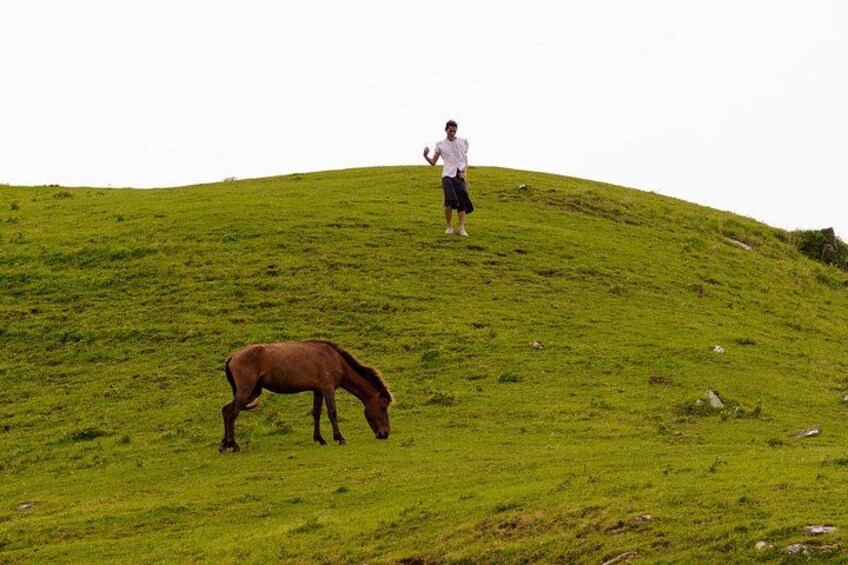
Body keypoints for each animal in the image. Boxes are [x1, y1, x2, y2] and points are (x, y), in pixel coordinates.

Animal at [220, 340, 393, 452]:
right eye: (383, 408)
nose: (385, 433)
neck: (335, 359)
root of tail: (233, 356)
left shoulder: (318, 391)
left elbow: (316, 414)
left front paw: (320, 438)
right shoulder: (328, 389)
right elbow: (332, 413)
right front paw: (340, 438)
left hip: (253, 392)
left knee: (226, 410)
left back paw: (224, 444)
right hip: (246, 390)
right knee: (232, 412)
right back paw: (233, 445)